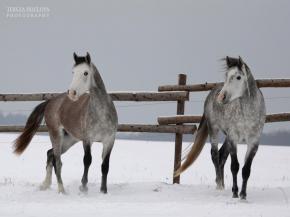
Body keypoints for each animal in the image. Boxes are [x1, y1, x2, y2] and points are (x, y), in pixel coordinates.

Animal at [13, 53, 118, 195]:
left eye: (85, 72)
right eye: (73, 72)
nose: (72, 93)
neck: (101, 113)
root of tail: (51, 102)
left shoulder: (109, 141)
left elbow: (105, 166)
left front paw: (103, 191)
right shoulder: (87, 140)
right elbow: (87, 160)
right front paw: (83, 187)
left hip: (69, 139)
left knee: (50, 154)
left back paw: (45, 185)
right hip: (56, 136)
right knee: (57, 161)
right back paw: (61, 190)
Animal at [174, 56, 266, 200]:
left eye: (238, 77)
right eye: (226, 75)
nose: (221, 97)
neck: (248, 113)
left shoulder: (254, 141)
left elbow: (246, 169)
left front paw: (243, 195)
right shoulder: (233, 137)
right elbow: (235, 166)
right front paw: (235, 193)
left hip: (227, 137)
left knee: (222, 156)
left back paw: (222, 184)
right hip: (214, 130)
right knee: (215, 155)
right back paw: (219, 185)